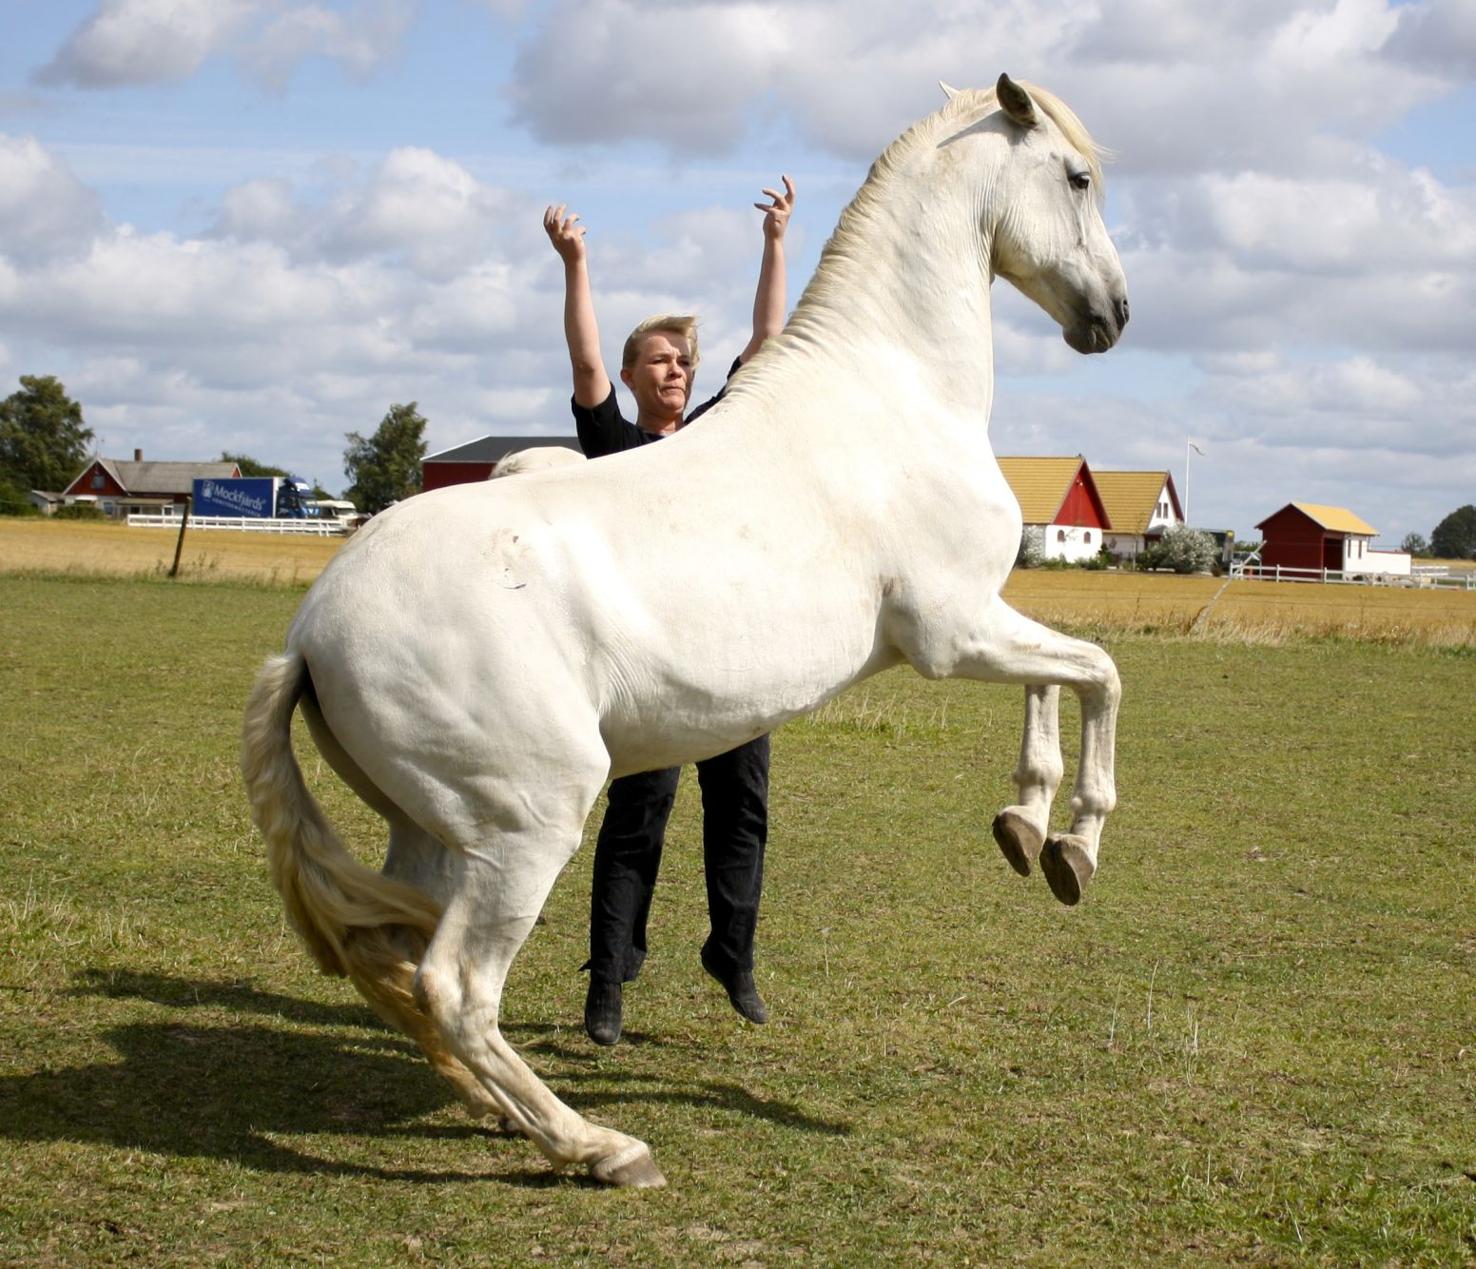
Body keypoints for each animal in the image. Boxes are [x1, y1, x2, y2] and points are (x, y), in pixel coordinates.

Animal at [241, 74, 1129, 1189]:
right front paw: (1074, 846)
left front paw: (1026, 827)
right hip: (526, 827)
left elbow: (1061, 677)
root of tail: (310, 633)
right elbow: (1098, 672)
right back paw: (599, 1146)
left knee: (398, 963)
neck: (892, 393)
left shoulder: (975, 626)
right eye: (1080, 176)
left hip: (433, 835)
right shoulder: (954, 631)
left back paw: (507, 1114)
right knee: (456, 987)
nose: (1114, 315)